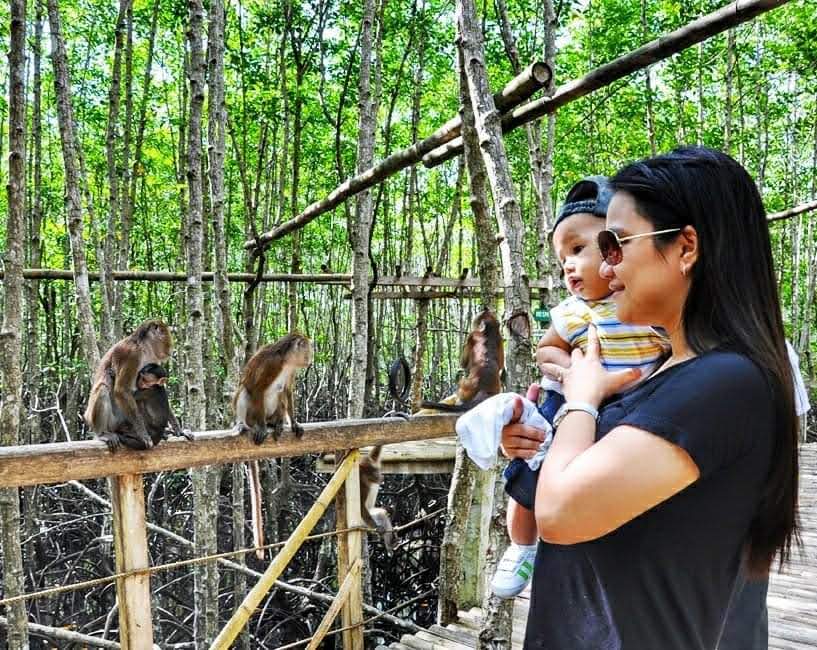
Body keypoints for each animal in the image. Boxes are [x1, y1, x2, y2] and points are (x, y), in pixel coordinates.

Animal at [84, 318, 172, 450]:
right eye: (164, 334)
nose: (169, 349)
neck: (145, 348)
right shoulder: (131, 354)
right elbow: (121, 390)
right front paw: (143, 434)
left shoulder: (152, 361)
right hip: (111, 421)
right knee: (103, 389)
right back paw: (102, 433)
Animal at [233, 334, 316, 556]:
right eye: (308, 350)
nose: (310, 360)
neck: (286, 361)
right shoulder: (272, 364)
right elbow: (256, 388)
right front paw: (261, 427)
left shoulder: (291, 370)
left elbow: (287, 392)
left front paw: (294, 423)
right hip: (251, 414)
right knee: (245, 391)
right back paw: (248, 425)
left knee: (280, 396)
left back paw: (276, 423)